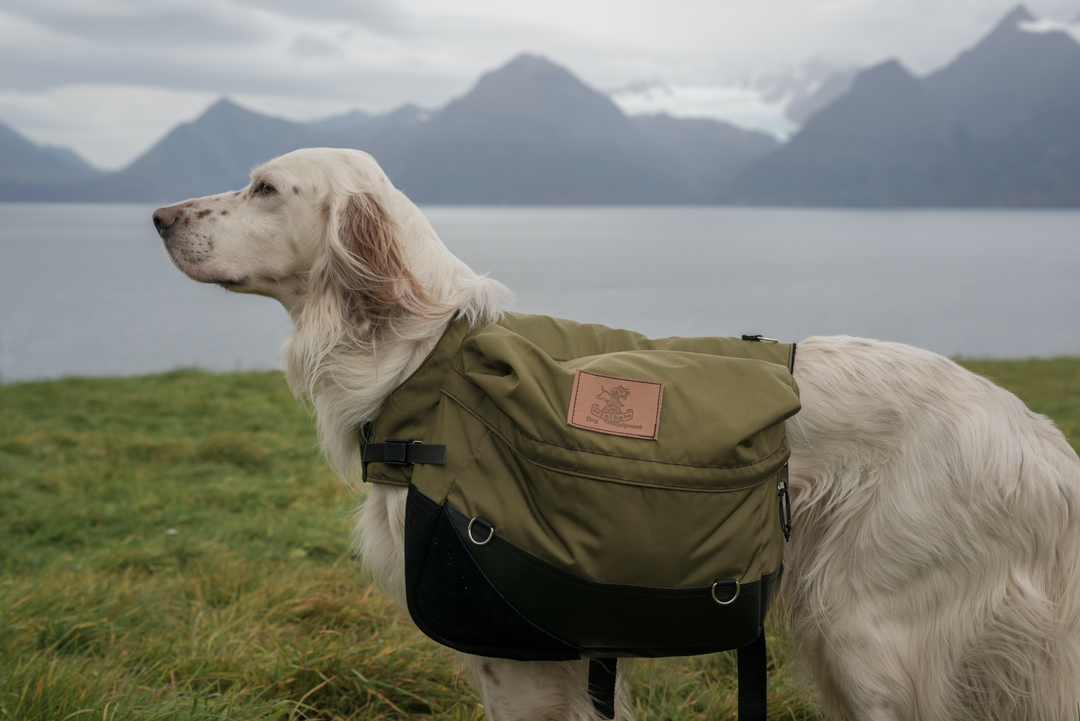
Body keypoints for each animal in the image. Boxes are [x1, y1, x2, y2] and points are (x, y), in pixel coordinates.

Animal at [152, 147, 1080, 721]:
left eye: (265, 188)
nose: (158, 215)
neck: (422, 357)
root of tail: (1038, 440)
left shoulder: (519, 659)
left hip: (868, 631)